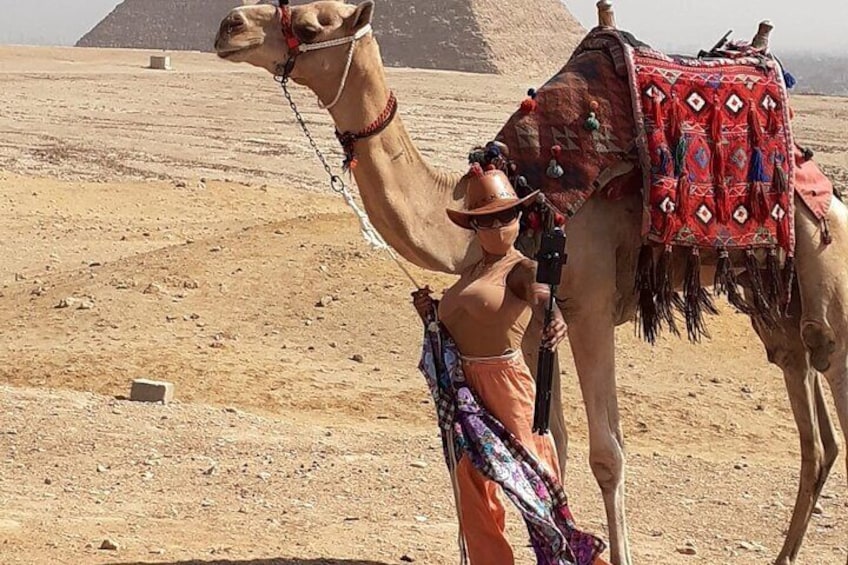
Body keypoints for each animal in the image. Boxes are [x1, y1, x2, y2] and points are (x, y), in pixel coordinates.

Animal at [214, 2, 848, 560]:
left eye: (312, 24)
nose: (229, 25)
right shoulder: (537, 321)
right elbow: (551, 443)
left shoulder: (589, 306)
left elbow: (607, 454)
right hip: (774, 299)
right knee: (813, 422)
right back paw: (783, 555)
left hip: (826, 268)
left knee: (828, 369)